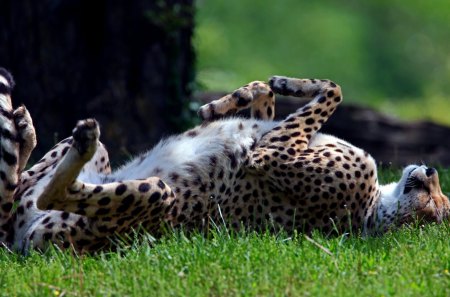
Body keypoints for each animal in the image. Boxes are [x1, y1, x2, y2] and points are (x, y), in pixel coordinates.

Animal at [0, 67, 448, 252]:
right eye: (442, 201)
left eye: (437, 211)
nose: (431, 170)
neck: (373, 209)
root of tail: (20, 242)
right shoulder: (271, 135)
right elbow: (271, 102)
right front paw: (234, 98)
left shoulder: (271, 154)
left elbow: (334, 91)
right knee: (17, 184)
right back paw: (25, 128)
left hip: (156, 198)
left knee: (48, 192)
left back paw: (81, 139)